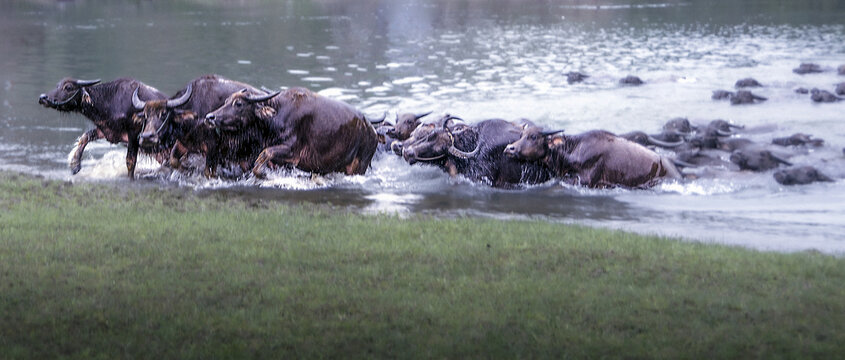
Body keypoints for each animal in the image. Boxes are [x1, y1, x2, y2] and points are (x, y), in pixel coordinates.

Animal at [38, 77, 167, 177]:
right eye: (57, 85)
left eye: (68, 87)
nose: (43, 98)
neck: (110, 100)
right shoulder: (107, 131)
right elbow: (85, 137)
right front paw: (75, 165)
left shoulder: (133, 134)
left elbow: (130, 161)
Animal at [203, 87, 378, 177]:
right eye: (226, 101)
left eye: (238, 103)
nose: (210, 117)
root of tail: (372, 131)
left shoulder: (292, 152)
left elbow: (264, 154)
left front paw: (261, 173)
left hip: (358, 167)